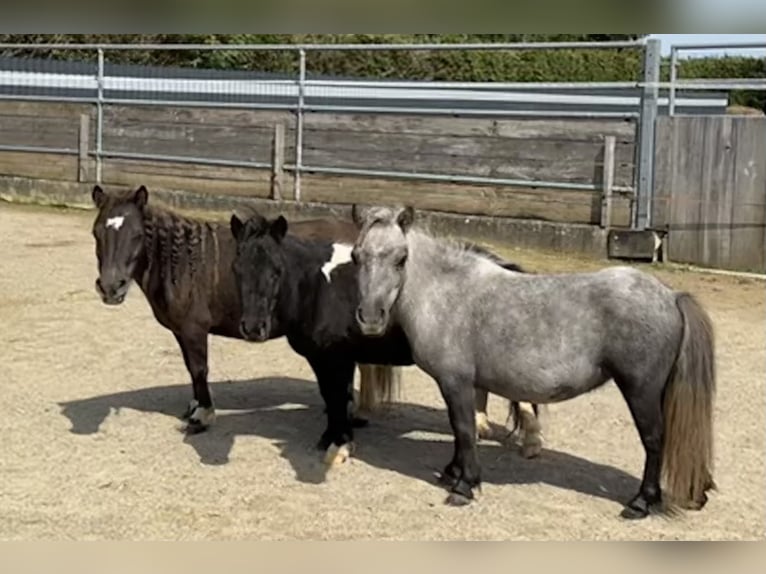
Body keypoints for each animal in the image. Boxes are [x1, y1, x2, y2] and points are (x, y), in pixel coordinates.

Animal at [90, 187, 402, 434]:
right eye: (96, 233)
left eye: (137, 235)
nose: (110, 287)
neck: (185, 263)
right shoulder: (180, 331)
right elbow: (190, 368)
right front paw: (194, 407)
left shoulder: (194, 329)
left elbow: (199, 369)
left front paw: (203, 415)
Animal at [228, 212, 544, 468]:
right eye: (237, 269)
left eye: (277, 270)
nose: (253, 328)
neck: (319, 288)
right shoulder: (323, 359)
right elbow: (331, 397)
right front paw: (331, 438)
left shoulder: (337, 359)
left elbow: (337, 398)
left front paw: (340, 446)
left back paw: (530, 444)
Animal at [354, 205, 720, 520]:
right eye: (358, 256)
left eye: (401, 258)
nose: (370, 319)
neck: (447, 294)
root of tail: (670, 295)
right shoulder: (461, 385)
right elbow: (461, 430)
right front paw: (452, 473)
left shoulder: (455, 382)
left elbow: (464, 428)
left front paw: (464, 485)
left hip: (640, 390)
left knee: (655, 439)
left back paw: (641, 502)